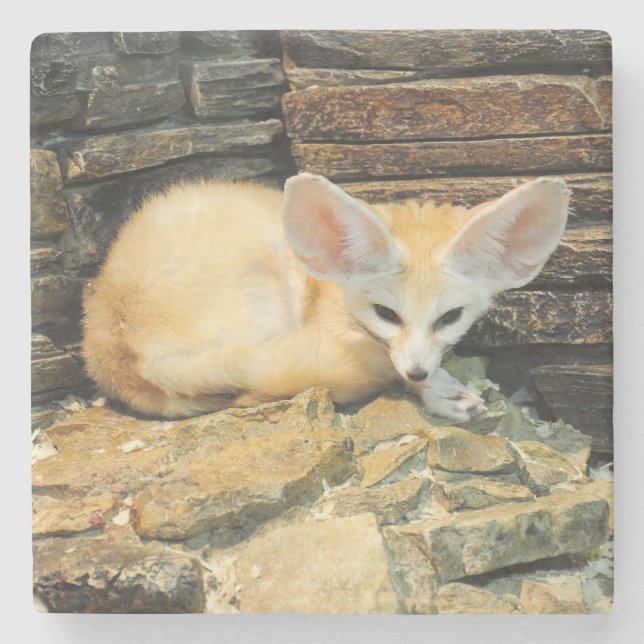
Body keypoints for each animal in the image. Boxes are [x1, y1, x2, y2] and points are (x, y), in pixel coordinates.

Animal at [82, 173, 570, 422]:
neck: (329, 287)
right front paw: (434, 390)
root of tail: (116, 350)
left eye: (449, 317)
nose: (417, 372)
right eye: (386, 314)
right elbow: (381, 361)